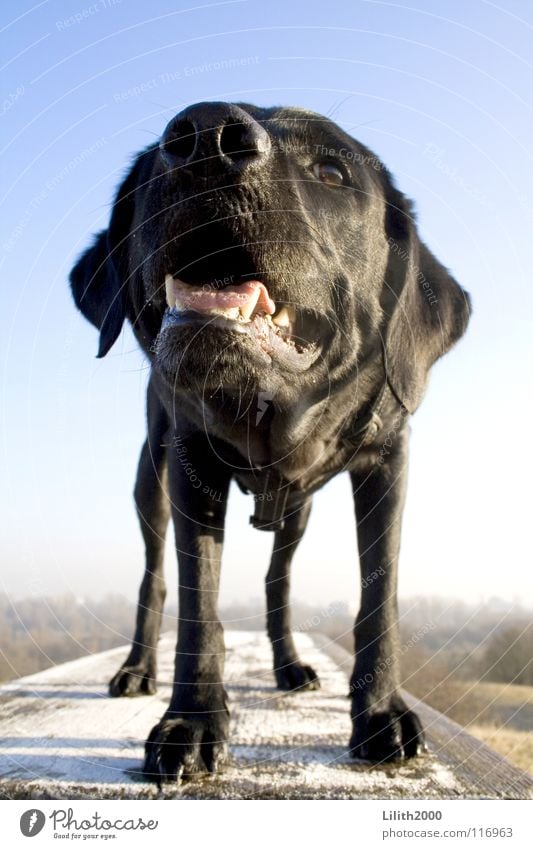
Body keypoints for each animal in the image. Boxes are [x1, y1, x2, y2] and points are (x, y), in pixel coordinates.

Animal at [69, 102, 470, 784]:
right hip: (149, 482)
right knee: (155, 577)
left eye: (332, 172)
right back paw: (138, 668)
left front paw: (381, 712)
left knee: (276, 583)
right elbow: (198, 603)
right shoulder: (191, 463)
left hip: (296, 512)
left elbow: (379, 595)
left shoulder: (388, 459)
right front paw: (192, 722)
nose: (204, 136)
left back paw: (286, 665)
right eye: (152, 167)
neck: (273, 411)